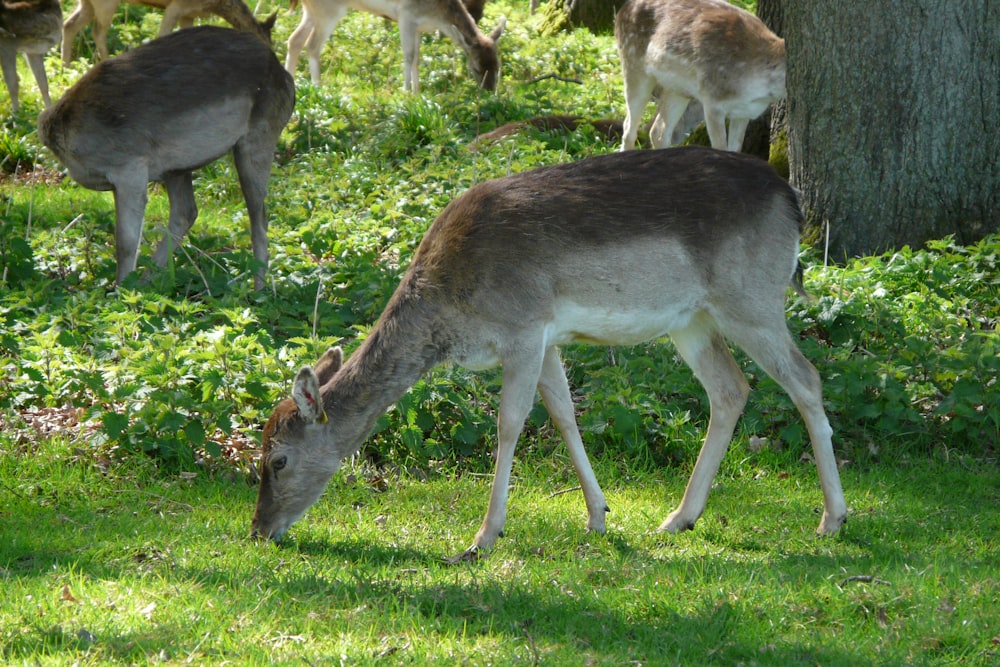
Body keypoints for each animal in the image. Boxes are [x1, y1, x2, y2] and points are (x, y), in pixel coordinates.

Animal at [40, 26, 296, 290]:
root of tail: (285, 75)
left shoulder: (129, 168)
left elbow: (125, 242)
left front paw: (122, 292)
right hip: (176, 168)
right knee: (186, 212)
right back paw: (148, 282)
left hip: (257, 140)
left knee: (259, 219)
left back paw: (259, 291)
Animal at [61, 0, 274, 63]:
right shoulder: (176, 6)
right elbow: (162, 35)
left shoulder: (189, 14)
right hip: (106, 2)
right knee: (98, 31)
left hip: (87, 3)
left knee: (69, 24)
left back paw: (66, 66)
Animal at [248, 147, 844, 564]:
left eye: (278, 460)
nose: (259, 530)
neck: (450, 306)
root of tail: (791, 200)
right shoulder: (550, 338)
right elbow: (563, 413)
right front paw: (599, 517)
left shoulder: (523, 327)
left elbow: (510, 423)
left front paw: (483, 538)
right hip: (692, 320)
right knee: (730, 389)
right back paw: (679, 518)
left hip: (751, 299)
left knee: (807, 379)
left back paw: (832, 517)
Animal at [284, 0, 504, 94]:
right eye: (476, 68)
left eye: (498, 65)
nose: (489, 90)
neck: (437, 17)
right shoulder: (406, 15)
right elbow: (408, 55)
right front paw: (405, 91)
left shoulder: (418, 27)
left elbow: (417, 59)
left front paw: (417, 92)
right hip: (329, 10)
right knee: (312, 45)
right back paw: (318, 88)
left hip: (311, 11)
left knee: (294, 39)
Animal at [612, 0, 784, 152]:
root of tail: (621, 10)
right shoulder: (713, 102)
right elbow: (720, 149)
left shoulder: (744, 112)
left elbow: (735, 150)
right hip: (632, 64)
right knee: (629, 127)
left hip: (677, 89)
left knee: (658, 131)